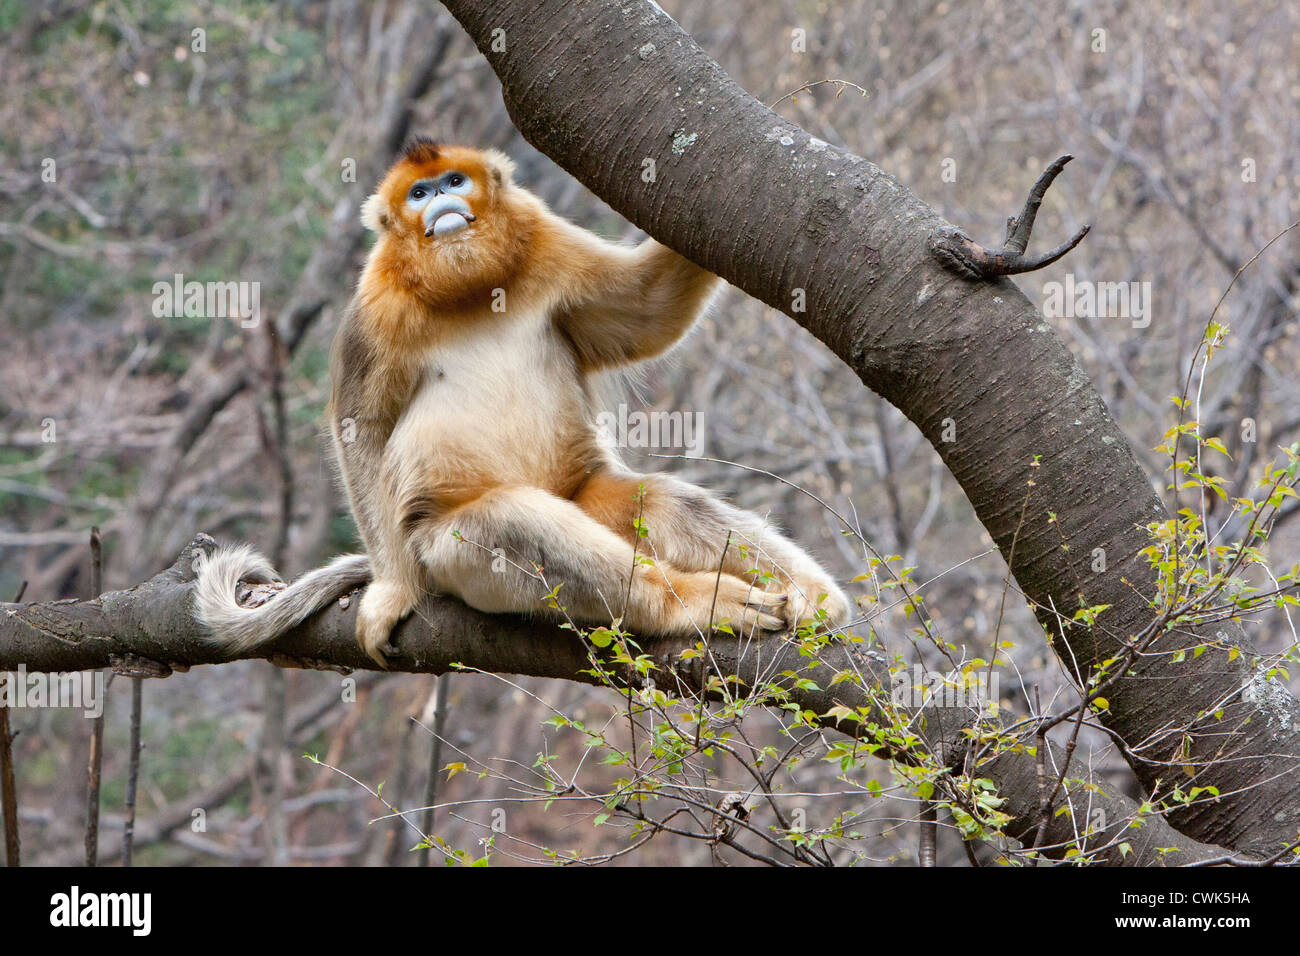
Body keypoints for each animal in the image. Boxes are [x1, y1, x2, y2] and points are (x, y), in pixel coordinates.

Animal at [195, 140, 851, 665]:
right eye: (418, 192)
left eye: (454, 181)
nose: (440, 202)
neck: (468, 289)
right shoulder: (373, 305)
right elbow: (363, 427)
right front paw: (393, 592)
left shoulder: (546, 239)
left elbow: (648, 308)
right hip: (442, 557)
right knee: (511, 522)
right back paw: (687, 603)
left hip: (583, 491)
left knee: (661, 503)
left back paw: (813, 596)